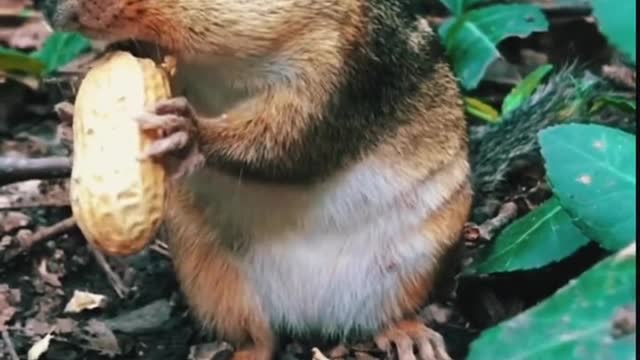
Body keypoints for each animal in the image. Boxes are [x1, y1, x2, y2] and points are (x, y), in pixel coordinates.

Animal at [40, 0, 636, 360]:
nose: (46, 8)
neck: (222, 55)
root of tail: (311, 316)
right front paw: (74, 108)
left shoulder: (346, 69)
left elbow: (291, 141)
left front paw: (189, 135)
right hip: (213, 279)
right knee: (260, 336)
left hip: (413, 264)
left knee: (382, 315)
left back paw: (406, 333)